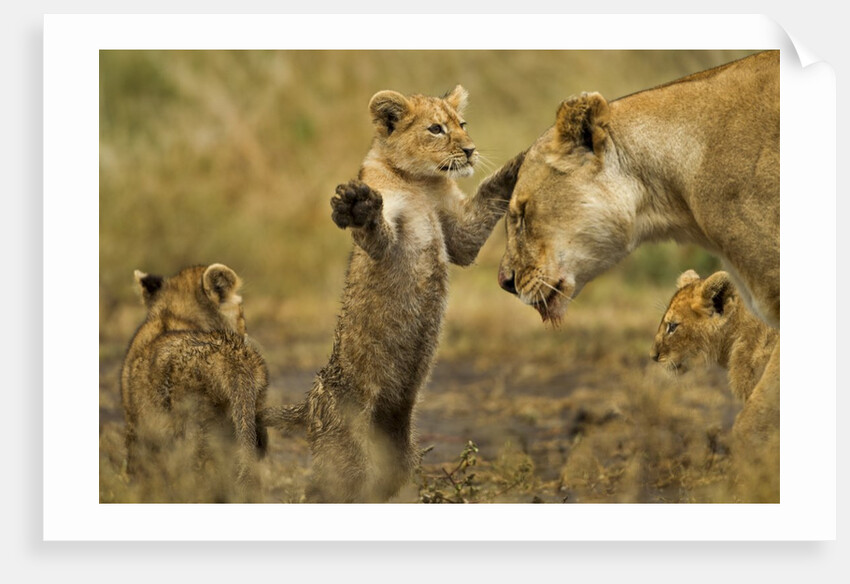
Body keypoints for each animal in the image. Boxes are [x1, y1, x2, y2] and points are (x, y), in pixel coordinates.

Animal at [261, 85, 525, 502]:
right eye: (436, 129)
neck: (420, 182)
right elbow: (376, 232)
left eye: (462, 123)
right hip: (344, 446)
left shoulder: (461, 234)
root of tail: (311, 399)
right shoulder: (388, 237)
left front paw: (525, 159)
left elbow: (490, 192)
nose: (470, 150)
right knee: (327, 489)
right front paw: (359, 207)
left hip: (398, 447)